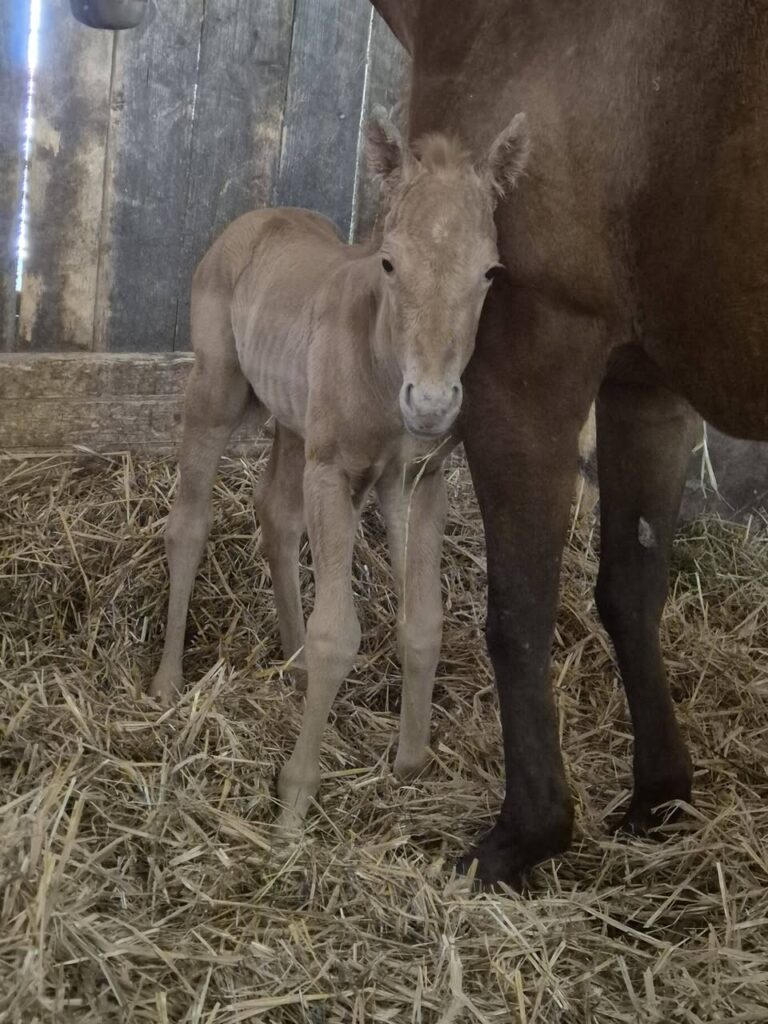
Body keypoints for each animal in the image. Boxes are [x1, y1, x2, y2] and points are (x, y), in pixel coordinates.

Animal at [150, 113, 530, 827]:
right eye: (390, 262)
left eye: (491, 272)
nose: (431, 403)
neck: (382, 364)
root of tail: (255, 218)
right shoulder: (334, 473)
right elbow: (338, 635)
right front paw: (296, 797)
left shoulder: (418, 481)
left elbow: (423, 619)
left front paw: (409, 761)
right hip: (218, 392)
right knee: (188, 523)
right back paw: (165, 681)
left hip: (295, 423)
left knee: (275, 513)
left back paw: (293, 664)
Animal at [372, 0, 768, 885]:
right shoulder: (643, 392)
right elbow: (631, 590)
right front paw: (660, 796)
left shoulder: (526, 369)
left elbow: (519, 610)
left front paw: (527, 834)